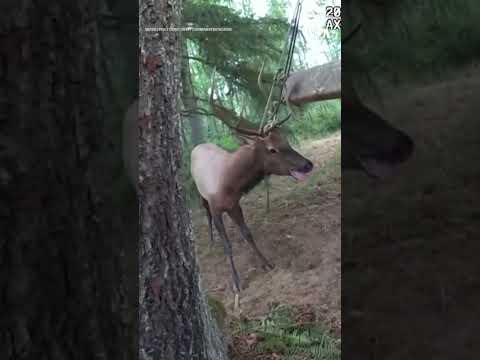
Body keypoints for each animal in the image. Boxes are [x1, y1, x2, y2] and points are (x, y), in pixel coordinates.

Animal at [191, 91, 316, 294]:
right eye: (272, 149)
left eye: (286, 141)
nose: (307, 164)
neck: (229, 184)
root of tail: (197, 146)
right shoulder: (216, 206)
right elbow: (227, 244)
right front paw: (236, 281)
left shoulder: (235, 204)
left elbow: (247, 233)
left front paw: (266, 263)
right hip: (199, 193)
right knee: (206, 214)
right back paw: (211, 241)